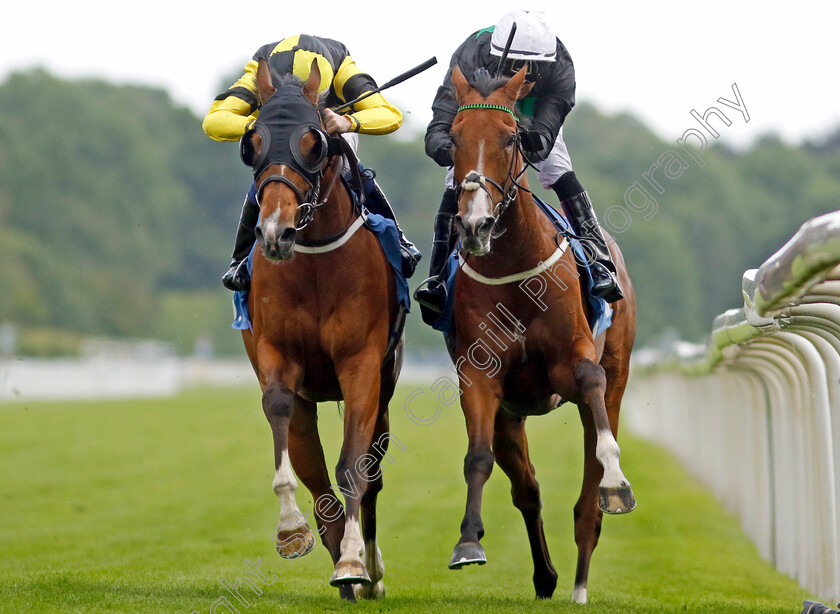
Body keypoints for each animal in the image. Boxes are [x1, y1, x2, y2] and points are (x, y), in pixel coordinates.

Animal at [238, 61, 406, 600]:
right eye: (252, 142)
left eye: (313, 142)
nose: (275, 232)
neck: (313, 260)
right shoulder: (276, 355)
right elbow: (280, 413)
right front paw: (292, 530)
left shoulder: (361, 365)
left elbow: (354, 465)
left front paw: (355, 561)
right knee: (311, 464)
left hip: (384, 392)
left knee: (372, 467)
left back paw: (366, 570)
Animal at [446, 63, 636, 608]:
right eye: (453, 138)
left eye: (511, 137)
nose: (475, 224)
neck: (514, 269)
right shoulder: (481, 377)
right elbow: (479, 457)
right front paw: (468, 541)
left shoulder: (571, 365)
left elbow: (589, 382)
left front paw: (617, 480)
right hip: (512, 415)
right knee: (527, 490)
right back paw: (547, 576)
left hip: (618, 377)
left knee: (588, 501)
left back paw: (579, 584)